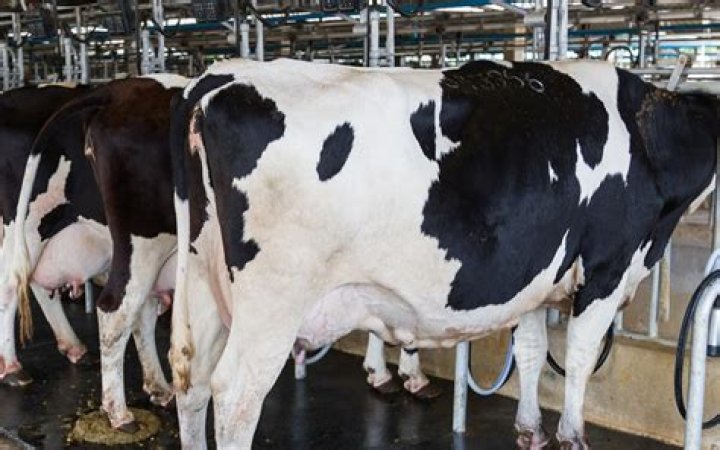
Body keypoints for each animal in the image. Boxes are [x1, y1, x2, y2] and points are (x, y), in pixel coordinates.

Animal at [168, 58, 718, 449]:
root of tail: (213, 85)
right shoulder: (609, 266)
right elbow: (581, 357)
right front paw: (572, 436)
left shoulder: (535, 275)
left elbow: (533, 350)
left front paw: (530, 429)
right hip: (273, 300)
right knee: (236, 393)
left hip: (201, 277)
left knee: (191, 379)